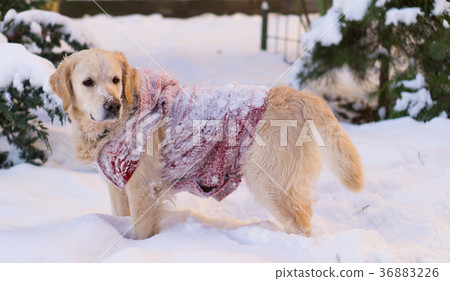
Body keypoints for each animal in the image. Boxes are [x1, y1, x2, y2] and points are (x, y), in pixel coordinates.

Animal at [50, 48, 362, 238]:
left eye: (116, 80)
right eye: (88, 82)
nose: (112, 104)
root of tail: (299, 95)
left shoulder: (143, 189)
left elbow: (140, 231)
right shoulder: (118, 189)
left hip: (271, 184)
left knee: (302, 226)